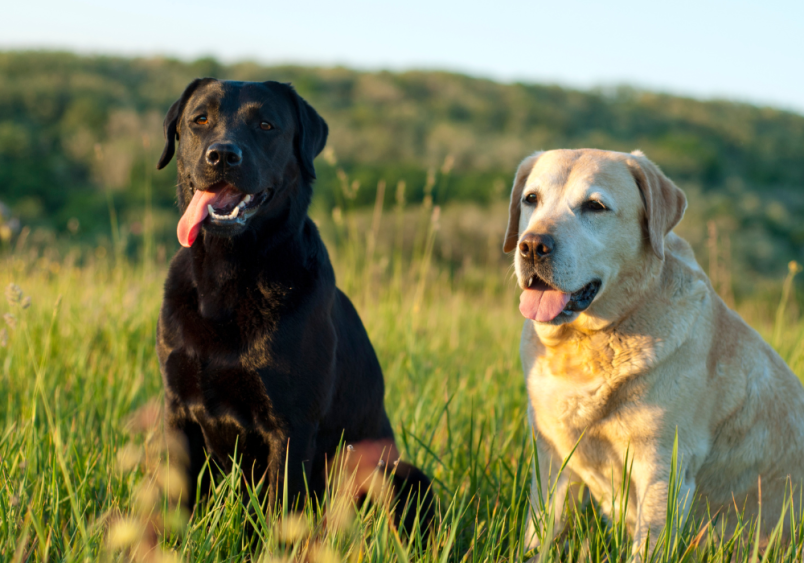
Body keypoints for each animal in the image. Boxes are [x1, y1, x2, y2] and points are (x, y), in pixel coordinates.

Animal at [155, 79, 434, 532]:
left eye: (266, 125)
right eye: (200, 119)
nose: (222, 155)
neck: (227, 278)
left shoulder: (290, 426)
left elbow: (279, 514)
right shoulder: (179, 412)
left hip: (403, 473)